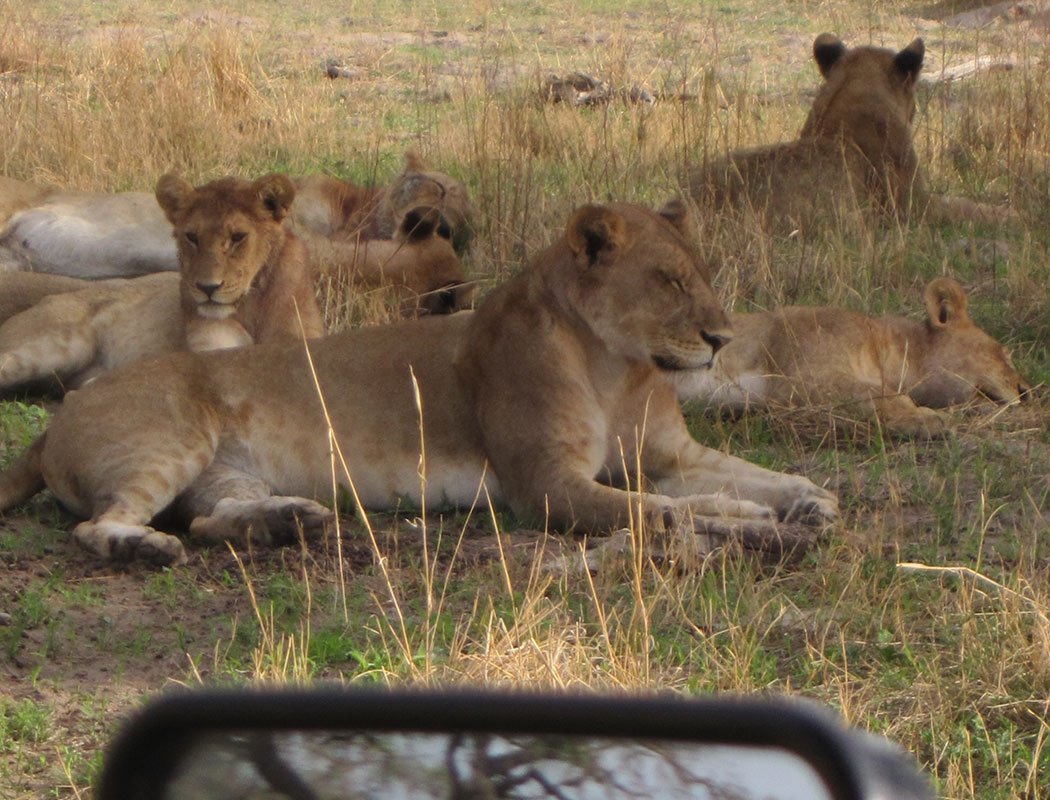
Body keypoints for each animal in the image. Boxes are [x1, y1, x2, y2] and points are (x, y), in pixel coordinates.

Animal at [0, 172, 321, 392]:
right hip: (52, 345)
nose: (207, 288)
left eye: (238, 237)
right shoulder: (212, 348)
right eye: (191, 237)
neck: (253, 303)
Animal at [0, 199, 835, 562]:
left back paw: (286, 523)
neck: (622, 369)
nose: (721, 339)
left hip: (221, 473)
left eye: (702, 276)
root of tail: (53, 425)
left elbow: (743, 474)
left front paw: (805, 499)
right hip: (168, 441)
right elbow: (666, 513)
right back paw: (141, 549)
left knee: (210, 519)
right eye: (667, 281)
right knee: (100, 525)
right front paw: (753, 523)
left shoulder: (671, 457)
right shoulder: (549, 487)